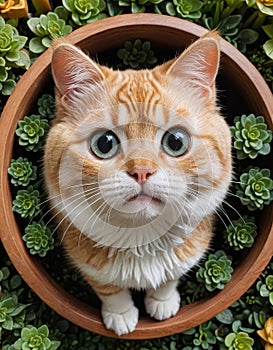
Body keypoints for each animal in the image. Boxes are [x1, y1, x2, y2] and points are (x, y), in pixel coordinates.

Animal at [44, 32, 232, 336]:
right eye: (104, 143)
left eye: (176, 141)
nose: (142, 171)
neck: (142, 239)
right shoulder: (84, 258)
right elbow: (109, 289)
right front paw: (120, 315)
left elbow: (170, 277)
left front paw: (163, 301)